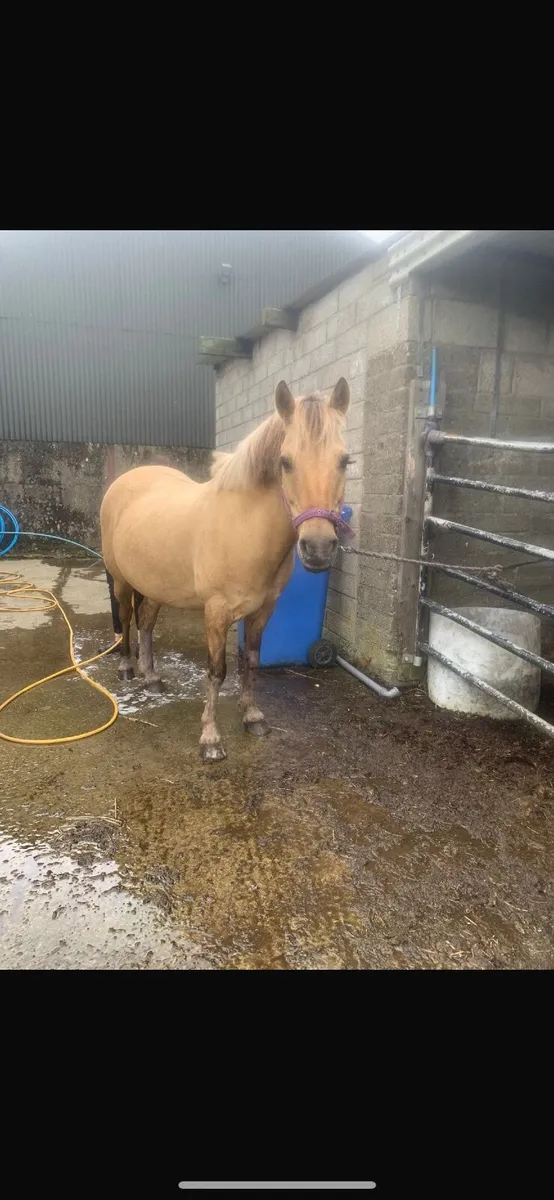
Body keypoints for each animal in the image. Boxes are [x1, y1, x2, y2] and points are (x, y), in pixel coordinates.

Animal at [100, 378, 351, 761]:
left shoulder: (263, 610)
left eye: (345, 460)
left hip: (156, 586)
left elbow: (252, 661)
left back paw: (152, 677)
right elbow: (217, 671)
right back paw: (128, 669)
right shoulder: (216, 613)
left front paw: (252, 717)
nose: (318, 547)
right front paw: (210, 738)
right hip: (122, 581)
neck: (244, 527)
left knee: (146, 624)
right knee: (127, 621)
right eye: (285, 462)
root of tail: (125, 480)